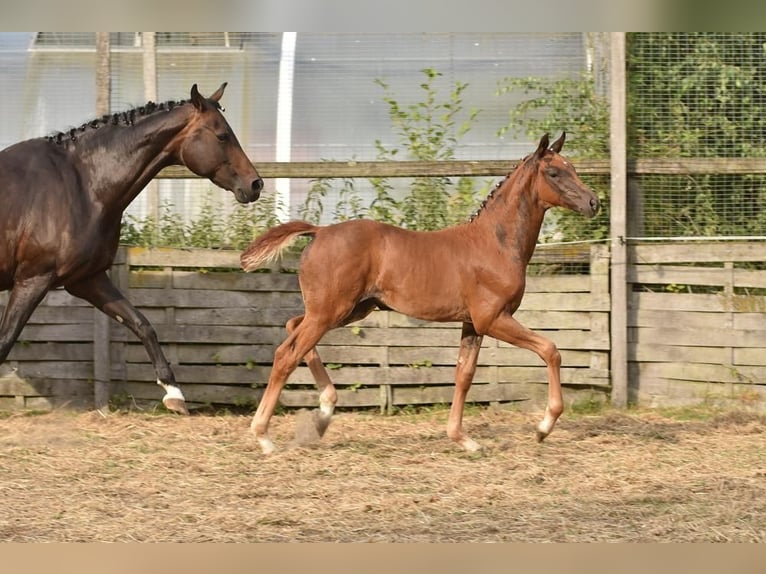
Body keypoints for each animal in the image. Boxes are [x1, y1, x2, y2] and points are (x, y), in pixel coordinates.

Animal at [0, 82, 263, 415]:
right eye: (222, 135)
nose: (255, 184)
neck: (81, 184)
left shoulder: (86, 279)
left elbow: (141, 323)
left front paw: (174, 395)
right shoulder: (32, 279)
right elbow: (4, 342)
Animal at [241, 132, 599, 454]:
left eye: (572, 167)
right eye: (554, 173)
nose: (594, 202)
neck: (495, 243)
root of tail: (320, 231)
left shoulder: (472, 324)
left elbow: (464, 375)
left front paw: (463, 439)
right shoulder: (494, 319)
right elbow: (550, 350)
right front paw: (543, 427)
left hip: (346, 310)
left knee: (292, 328)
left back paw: (325, 412)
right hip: (330, 311)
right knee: (287, 354)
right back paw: (264, 436)